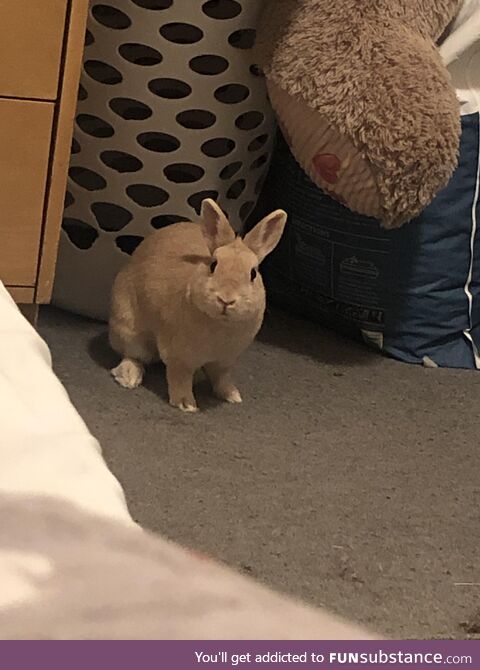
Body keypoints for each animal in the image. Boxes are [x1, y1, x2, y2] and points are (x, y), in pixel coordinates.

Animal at [109, 197, 286, 412]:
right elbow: (180, 379)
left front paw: (233, 395)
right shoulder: (179, 357)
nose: (226, 299)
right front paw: (186, 405)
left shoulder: (225, 360)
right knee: (133, 355)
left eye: (253, 273)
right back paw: (128, 377)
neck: (221, 323)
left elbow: (221, 379)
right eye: (213, 265)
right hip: (128, 328)